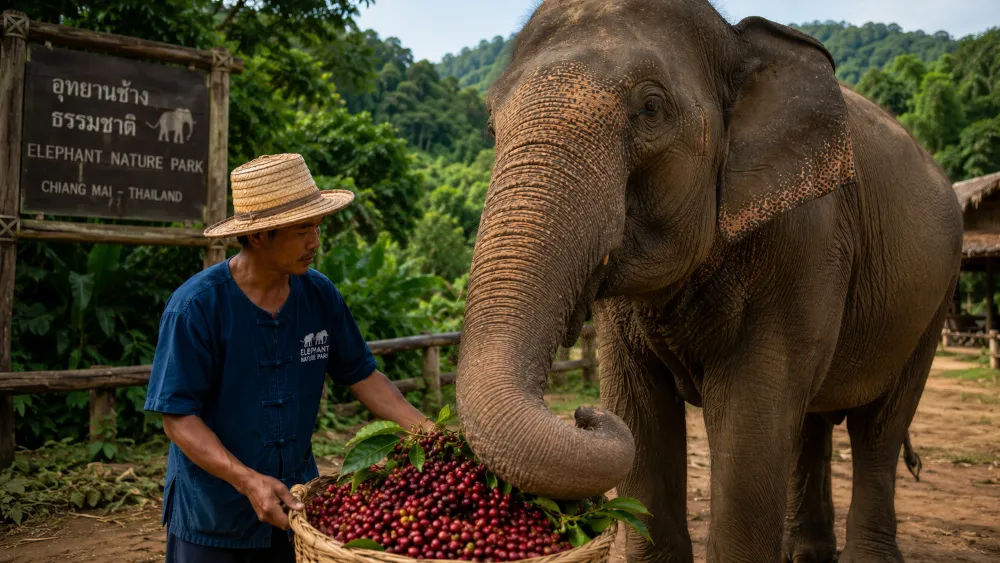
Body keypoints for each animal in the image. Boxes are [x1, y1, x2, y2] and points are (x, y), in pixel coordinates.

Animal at [453, 1, 963, 562]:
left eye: (651, 108)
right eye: (491, 125)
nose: (584, 414)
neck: (735, 40)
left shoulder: (806, 241)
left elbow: (750, 422)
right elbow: (639, 412)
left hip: (935, 297)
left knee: (879, 428)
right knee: (811, 423)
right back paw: (805, 553)